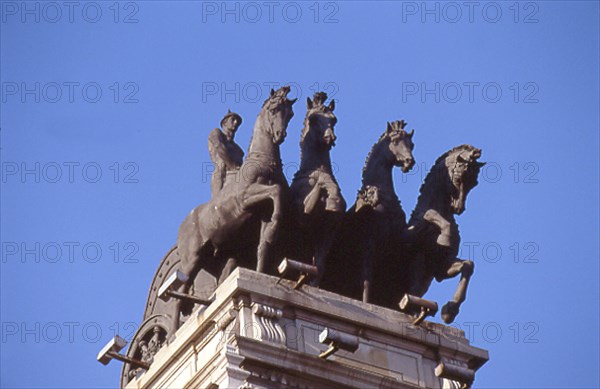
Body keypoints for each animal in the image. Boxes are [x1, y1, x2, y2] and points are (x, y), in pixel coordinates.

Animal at [172, 86, 296, 328]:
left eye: (290, 114)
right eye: (274, 109)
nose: (280, 134)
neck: (264, 163)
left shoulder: (262, 214)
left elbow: (263, 245)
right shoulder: (247, 199)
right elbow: (275, 191)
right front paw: (277, 222)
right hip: (192, 259)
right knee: (177, 297)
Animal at [286, 92, 346, 284]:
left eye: (334, 119)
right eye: (312, 119)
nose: (330, 137)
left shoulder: (328, 231)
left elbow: (319, 266)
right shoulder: (304, 217)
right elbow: (320, 186)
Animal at [398, 144, 488, 322]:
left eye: (474, 183)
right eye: (459, 178)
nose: (459, 208)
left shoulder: (441, 267)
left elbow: (468, 265)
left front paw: (449, 311)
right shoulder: (421, 259)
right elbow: (414, 287)